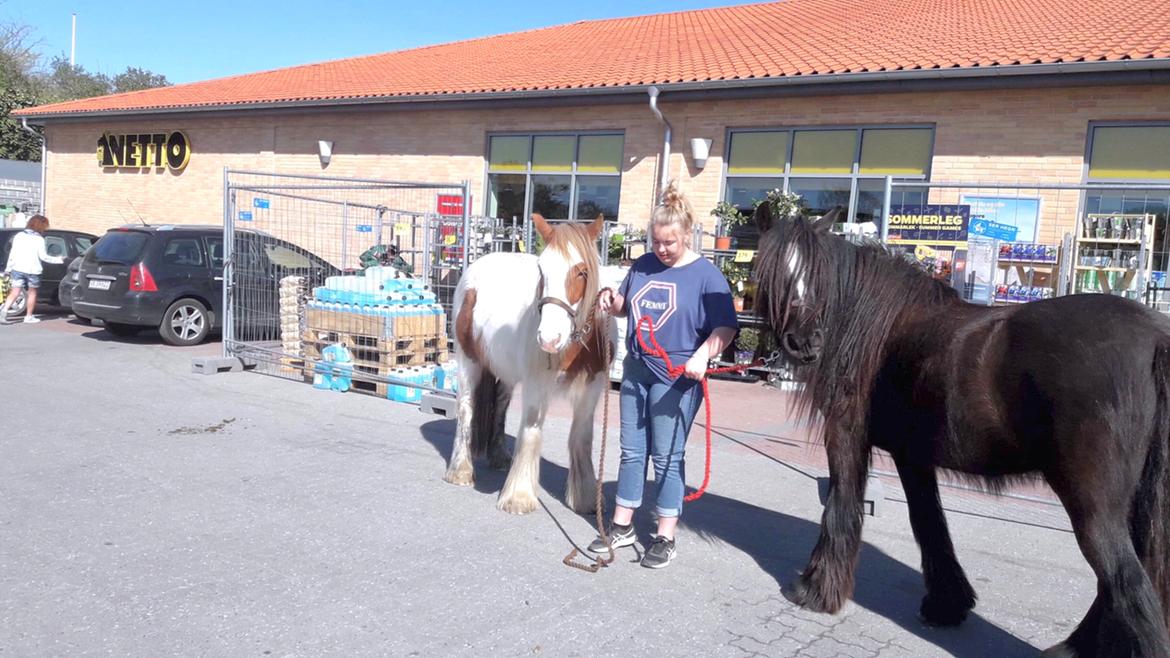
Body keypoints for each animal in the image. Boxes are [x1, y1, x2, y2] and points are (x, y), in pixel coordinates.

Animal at [442, 214, 617, 512]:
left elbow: (582, 436)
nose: (549, 338)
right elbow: (531, 430)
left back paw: (499, 456)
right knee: (466, 406)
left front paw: (584, 498)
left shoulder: (592, 386)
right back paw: (461, 470)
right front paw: (519, 496)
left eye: (582, 272)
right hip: (468, 360)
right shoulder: (537, 383)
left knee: (500, 404)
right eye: (542, 272)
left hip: (505, 371)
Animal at [748, 202, 1170, 650]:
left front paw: (816, 590)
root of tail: (1155, 337)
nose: (807, 343)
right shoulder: (912, 455)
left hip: (1091, 502)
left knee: (1126, 579)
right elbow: (929, 522)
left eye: (817, 271)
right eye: (774, 269)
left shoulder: (846, 437)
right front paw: (946, 603)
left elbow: (841, 508)